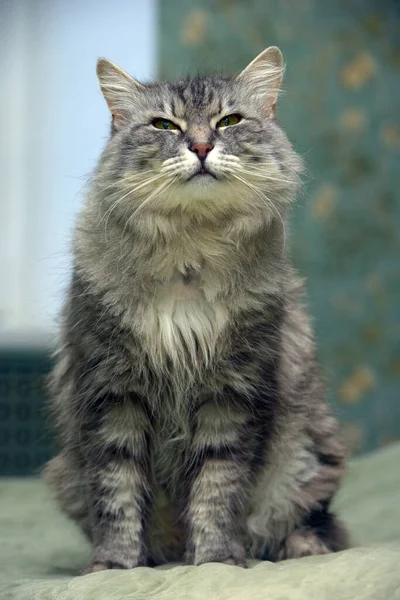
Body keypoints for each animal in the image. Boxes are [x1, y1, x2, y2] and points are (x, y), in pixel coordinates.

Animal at [44, 47, 350, 572]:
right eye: (164, 125)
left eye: (229, 121)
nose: (202, 147)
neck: (191, 250)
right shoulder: (112, 391)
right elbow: (118, 493)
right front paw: (114, 567)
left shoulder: (232, 392)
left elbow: (216, 490)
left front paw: (215, 560)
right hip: (66, 473)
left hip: (306, 454)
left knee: (309, 523)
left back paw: (299, 549)